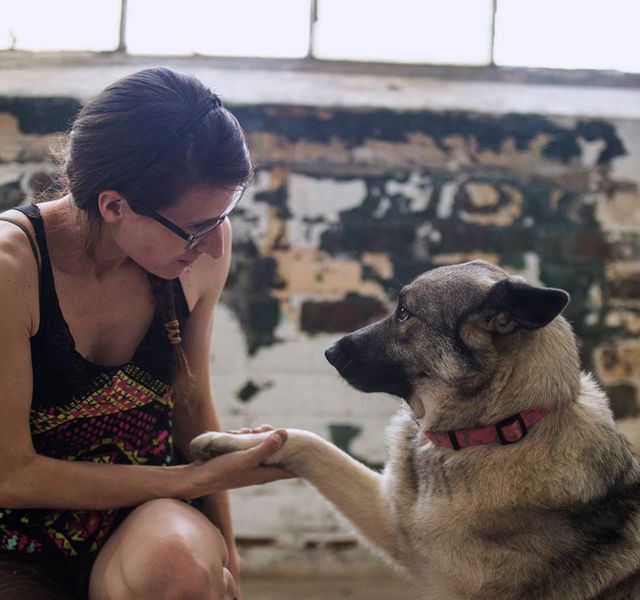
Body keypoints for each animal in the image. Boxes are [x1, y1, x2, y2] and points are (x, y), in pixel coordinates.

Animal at [190, 260, 640, 596]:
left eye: (405, 313)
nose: (329, 352)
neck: (496, 427)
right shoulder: (386, 516)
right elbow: (310, 443)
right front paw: (234, 441)